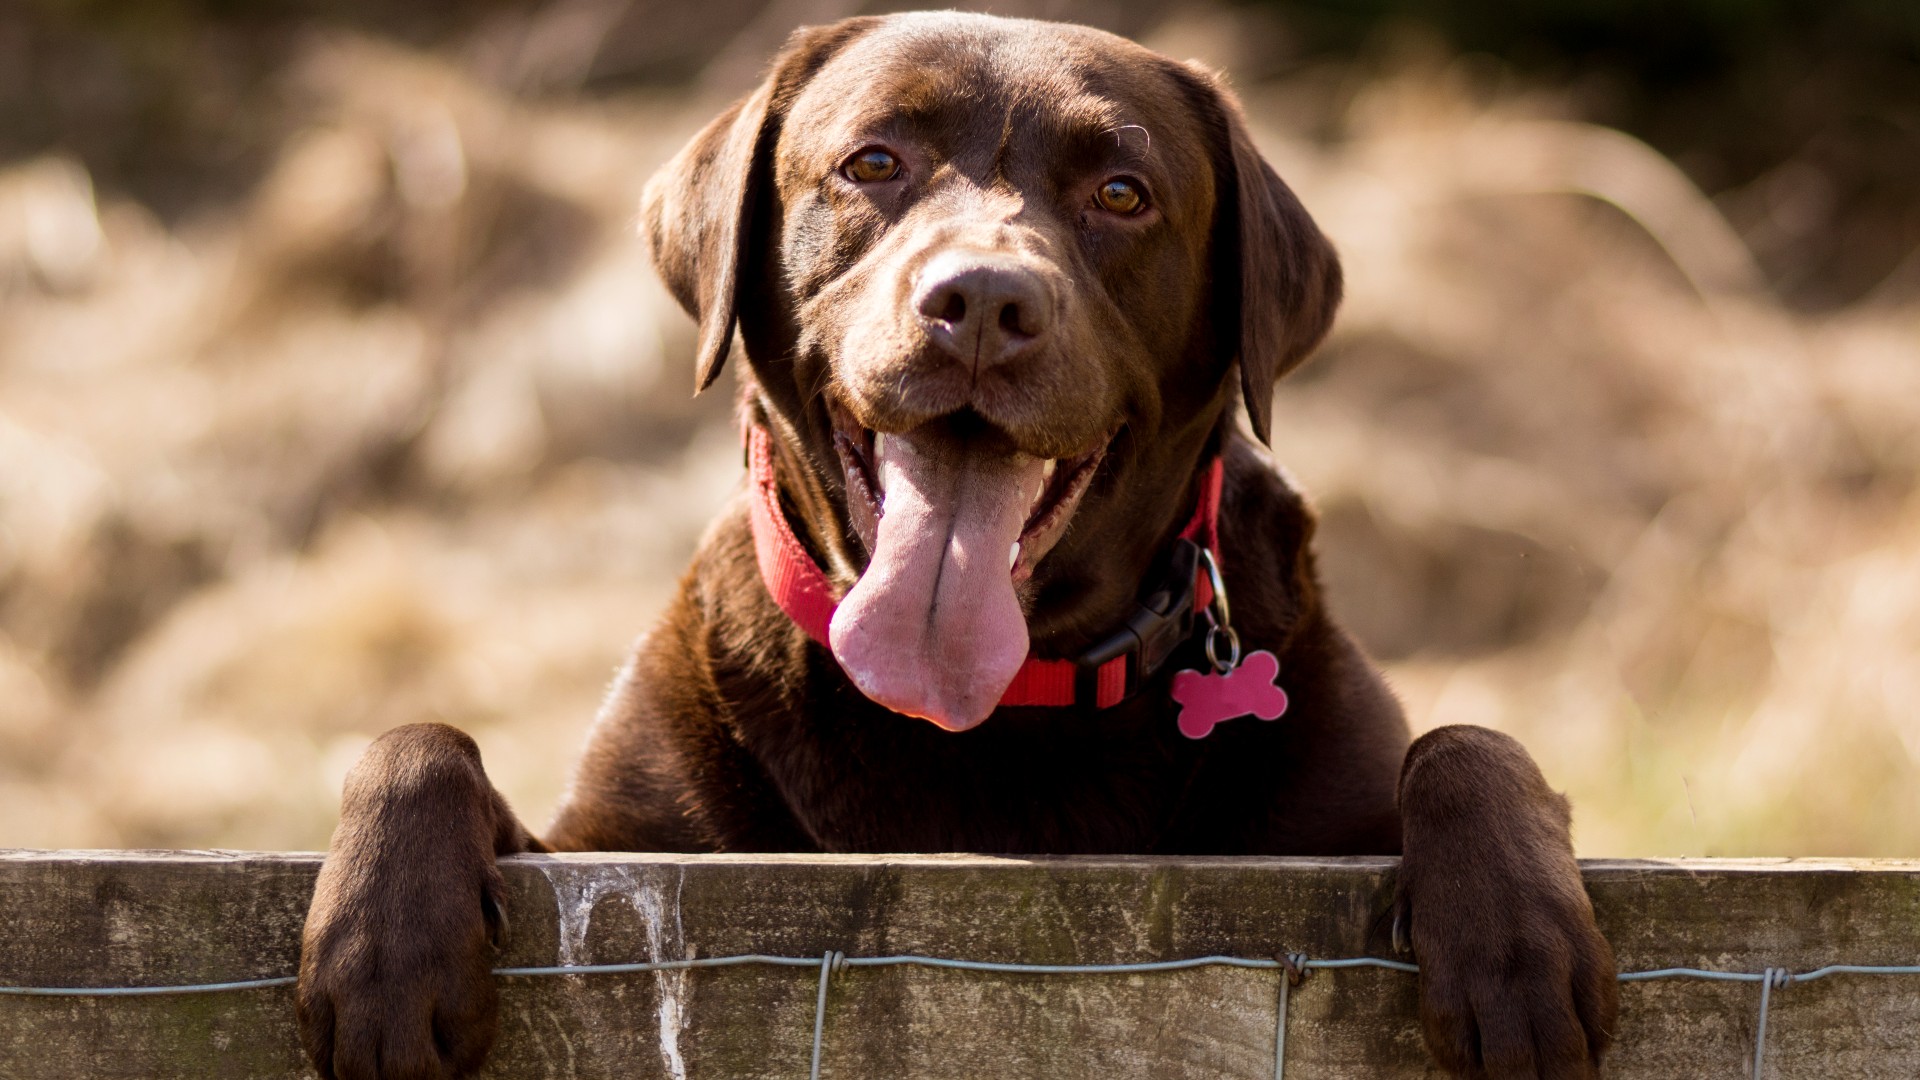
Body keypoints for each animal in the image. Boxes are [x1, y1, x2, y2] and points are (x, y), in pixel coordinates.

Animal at [299, 12, 1620, 1068]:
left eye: (1122, 192)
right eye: (873, 162)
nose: (983, 301)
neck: (993, 709)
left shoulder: (1332, 821)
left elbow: (1469, 744)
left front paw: (1513, 945)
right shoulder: (610, 851)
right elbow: (421, 743)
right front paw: (381, 950)